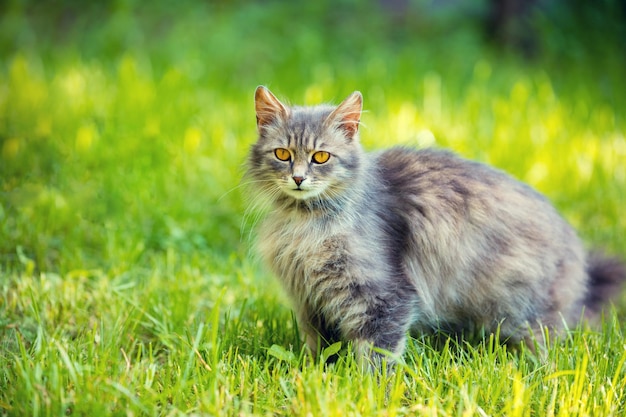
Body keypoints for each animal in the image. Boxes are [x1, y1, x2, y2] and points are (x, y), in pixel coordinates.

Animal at [246, 85, 620, 364]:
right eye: (282, 154)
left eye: (320, 157)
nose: (298, 178)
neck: (305, 225)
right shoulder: (309, 301)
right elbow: (319, 349)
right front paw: (315, 374)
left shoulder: (385, 298)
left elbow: (376, 356)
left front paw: (369, 392)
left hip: (522, 312)